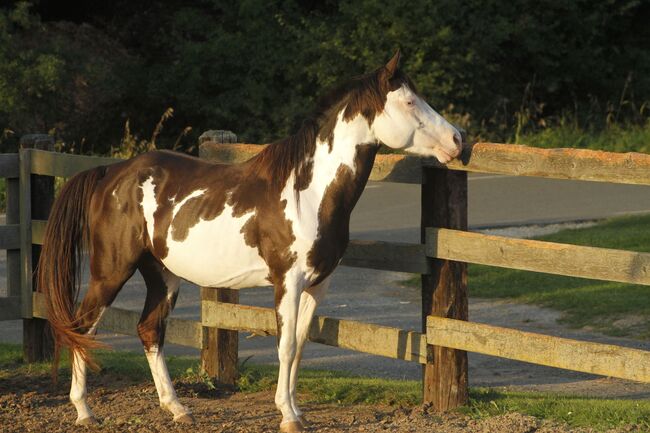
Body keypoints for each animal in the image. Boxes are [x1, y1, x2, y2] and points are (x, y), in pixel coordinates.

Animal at [39, 51, 460, 432]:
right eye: (410, 101)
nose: (457, 139)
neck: (307, 192)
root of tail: (110, 173)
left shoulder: (318, 285)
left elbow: (300, 344)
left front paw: (296, 411)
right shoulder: (287, 282)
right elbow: (285, 345)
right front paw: (287, 416)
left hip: (162, 275)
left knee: (149, 329)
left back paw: (177, 409)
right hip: (111, 272)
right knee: (84, 327)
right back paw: (84, 411)